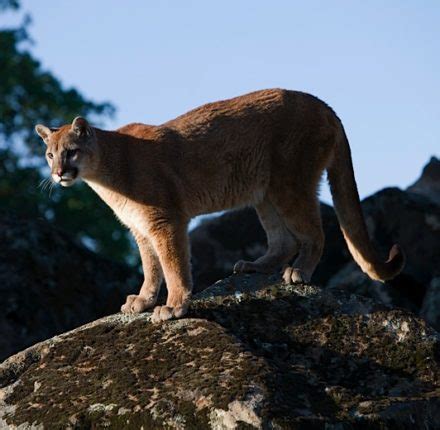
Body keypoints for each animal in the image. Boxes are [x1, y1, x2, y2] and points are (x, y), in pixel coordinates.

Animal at [36, 89, 404, 320]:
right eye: (50, 154)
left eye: (71, 151)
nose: (58, 173)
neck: (106, 172)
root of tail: (323, 104)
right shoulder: (140, 229)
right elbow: (151, 268)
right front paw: (142, 301)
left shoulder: (165, 221)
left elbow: (173, 266)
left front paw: (174, 307)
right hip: (263, 192)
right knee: (283, 239)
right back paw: (256, 265)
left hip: (289, 183)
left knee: (315, 233)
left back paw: (299, 272)